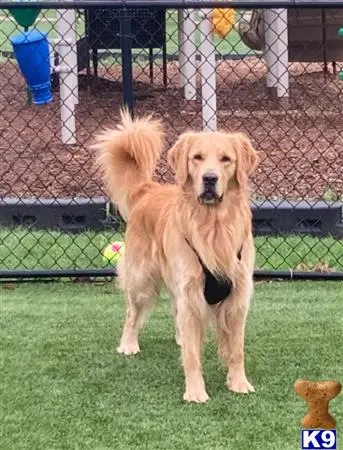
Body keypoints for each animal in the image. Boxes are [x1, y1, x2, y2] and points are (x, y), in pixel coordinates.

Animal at [92, 110, 260, 404]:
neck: (213, 226)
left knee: (174, 309)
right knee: (132, 311)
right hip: (140, 277)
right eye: (197, 157)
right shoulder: (191, 293)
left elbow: (236, 350)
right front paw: (195, 391)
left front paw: (239, 383)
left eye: (226, 159)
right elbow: (192, 356)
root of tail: (147, 189)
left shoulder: (238, 296)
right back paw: (128, 344)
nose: (209, 178)